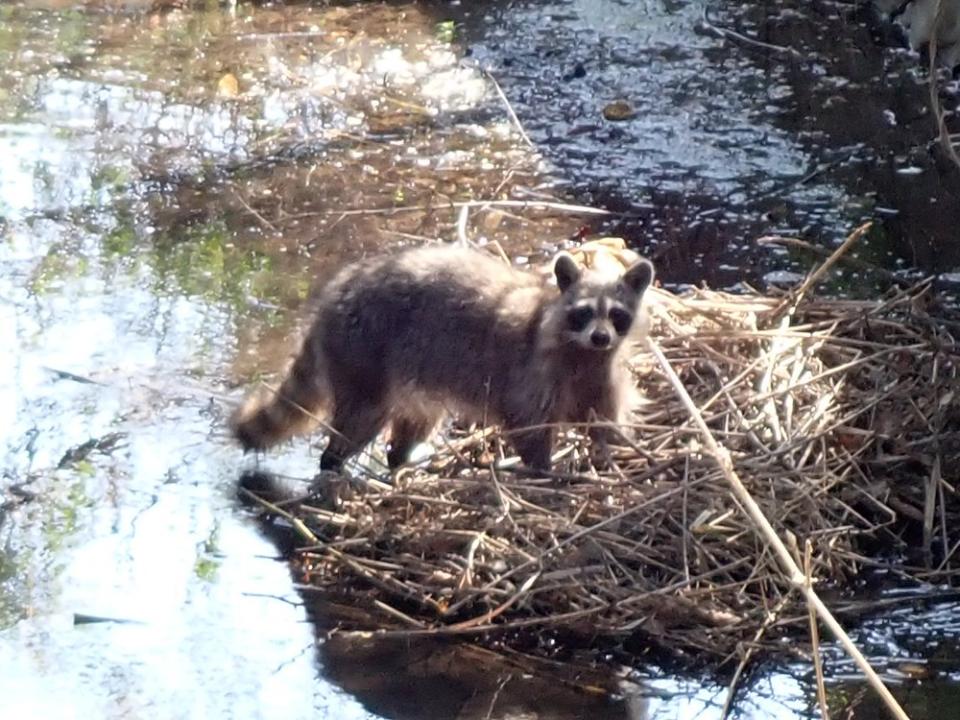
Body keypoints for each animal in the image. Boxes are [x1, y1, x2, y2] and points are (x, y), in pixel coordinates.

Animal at [231, 246, 652, 472]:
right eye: (583, 313)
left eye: (617, 315)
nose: (601, 336)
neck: (582, 352)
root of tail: (333, 296)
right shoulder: (534, 370)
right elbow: (527, 424)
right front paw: (545, 472)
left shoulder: (600, 376)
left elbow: (606, 422)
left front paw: (614, 454)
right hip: (363, 352)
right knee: (359, 420)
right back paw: (334, 464)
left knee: (415, 423)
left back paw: (399, 462)